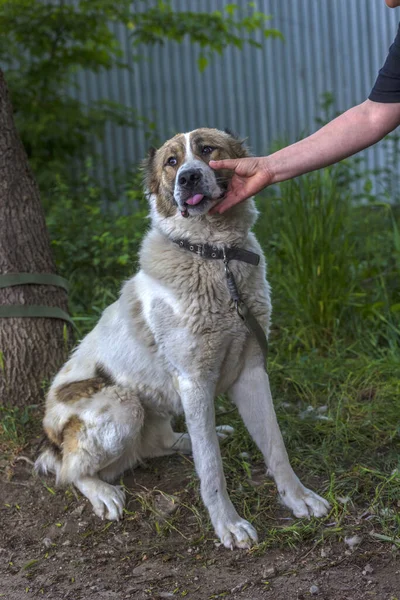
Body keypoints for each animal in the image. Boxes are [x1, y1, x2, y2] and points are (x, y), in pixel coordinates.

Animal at [36, 129, 330, 552]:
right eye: (171, 162)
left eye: (207, 150)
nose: (188, 177)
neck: (215, 256)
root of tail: (48, 427)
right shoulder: (195, 382)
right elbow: (211, 468)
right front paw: (228, 524)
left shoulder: (252, 371)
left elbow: (275, 445)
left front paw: (298, 497)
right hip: (122, 405)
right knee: (68, 470)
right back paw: (102, 492)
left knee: (158, 443)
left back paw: (203, 437)